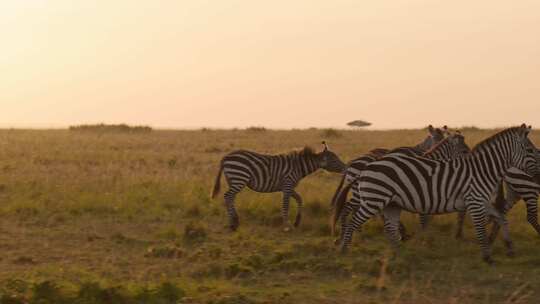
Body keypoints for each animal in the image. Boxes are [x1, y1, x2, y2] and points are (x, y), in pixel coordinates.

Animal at [212, 142, 346, 230]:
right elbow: (285, 205)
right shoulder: (287, 185)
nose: (346, 167)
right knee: (228, 196)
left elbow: (300, 199)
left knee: (230, 198)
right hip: (239, 177)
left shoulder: (290, 187)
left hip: (233, 180)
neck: (298, 167)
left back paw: (235, 221)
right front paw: (287, 225)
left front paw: (297, 221)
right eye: (334, 160)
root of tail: (225, 157)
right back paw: (232, 223)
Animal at [332, 131, 470, 242]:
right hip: (365, 193)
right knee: (348, 208)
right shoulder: (423, 192)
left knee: (350, 208)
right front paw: (423, 235)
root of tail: (351, 164)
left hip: (365, 193)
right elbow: (423, 216)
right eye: (464, 151)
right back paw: (346, 235)